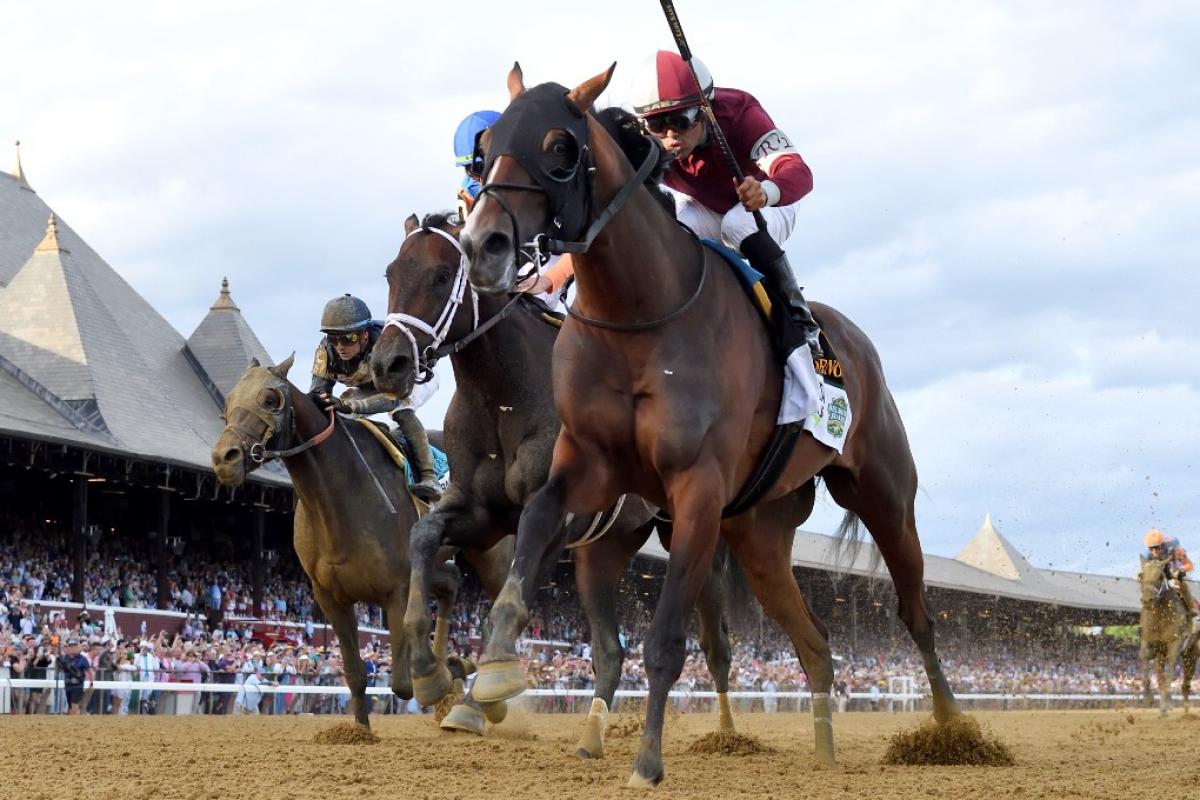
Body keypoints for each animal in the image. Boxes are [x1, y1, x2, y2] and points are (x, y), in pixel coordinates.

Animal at [364, 205, 739, 753]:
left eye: (441, 276)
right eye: (391, 273)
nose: (387, 364)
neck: (505, 395)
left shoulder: (551, 518)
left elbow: (508, 601)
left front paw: (478, 700)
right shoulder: (482, 513)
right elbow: (423, 535)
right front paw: (430, 673)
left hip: (691, 532)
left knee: (716, 644)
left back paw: (729, 735)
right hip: (604, 548)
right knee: (609, 651)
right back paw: (591, 738)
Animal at [453, 64, 960, 786]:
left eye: (559, 148)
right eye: (486, 146)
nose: (482, 244)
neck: (638, 313)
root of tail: (857, 344)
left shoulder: (696, 488)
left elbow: (667, 639)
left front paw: (647, 761)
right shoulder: (588, 467)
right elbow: (531, 535)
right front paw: (493, 671)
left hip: (885, 495)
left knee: (916, 614)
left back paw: (953, 731)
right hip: (758, 534)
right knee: (816, 640)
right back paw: (826, 751)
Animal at [1137, 556, 1195, 719]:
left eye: (1160, 576)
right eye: (1141, 576)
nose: (1147, 600)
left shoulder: (1175, 644)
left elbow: (1169, 671)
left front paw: (1165, 704)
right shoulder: (1150, 642)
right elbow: (1144, 657)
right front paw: (1149, 698)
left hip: (1191, 655)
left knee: (1185, 685)